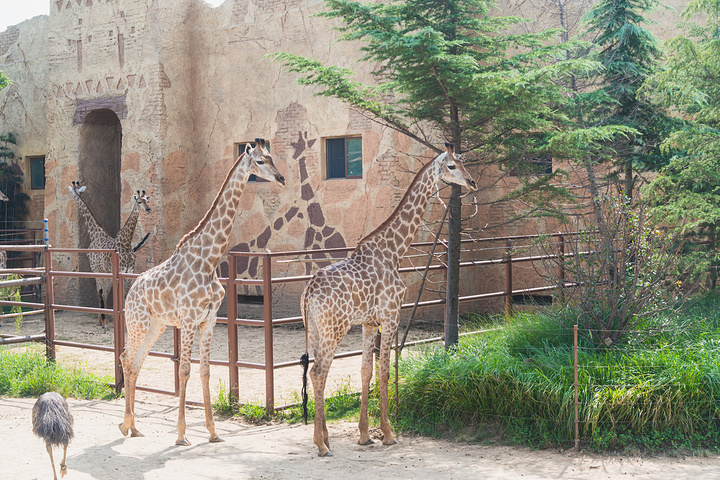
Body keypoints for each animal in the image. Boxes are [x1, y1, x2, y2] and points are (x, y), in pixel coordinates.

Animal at [69, 182, 152, 328]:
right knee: (101, 292)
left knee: (104, 292)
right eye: (139, 201)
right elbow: (116, 295)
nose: (148, 209)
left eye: (146, 200)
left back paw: (104, 321)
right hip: (98, 270)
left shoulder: (129, 270)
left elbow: (125, 295)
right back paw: (103, 321)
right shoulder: (114, 270)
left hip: (104, 272)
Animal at [119, 139, 286, 446]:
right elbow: (183, 370)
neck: (209, 260)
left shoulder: (209, 320)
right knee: (126, 358)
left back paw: (133, 427)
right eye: (259, 161)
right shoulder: (187, 320)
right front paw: (182, 434)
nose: (281, 178)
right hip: (139, 323)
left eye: (271, 157)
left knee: (136, 362)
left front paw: (213, 431)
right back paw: (126, 424)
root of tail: (131, 289)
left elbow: (205, 371)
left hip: (157, 325)